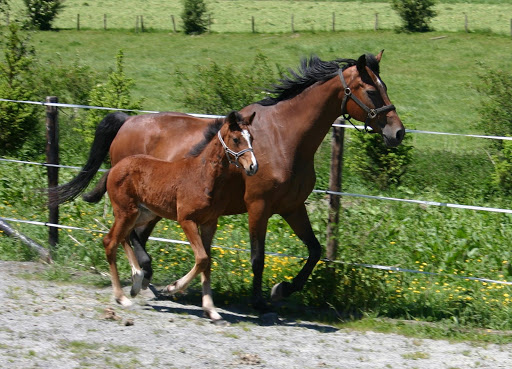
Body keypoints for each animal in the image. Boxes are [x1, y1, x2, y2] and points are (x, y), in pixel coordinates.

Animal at [52, 50, 404, 310]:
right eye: (371, 90)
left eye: (387, 86)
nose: (397, 132)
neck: (285, 137)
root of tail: (126, 122)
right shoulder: (258, 207)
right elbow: (258, 256)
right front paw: (259, 300)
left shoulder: (292, 207)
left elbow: (315, 250)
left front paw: (282, 289)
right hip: (141, 204)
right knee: (130, 236)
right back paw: (149, 278)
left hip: (152, 206)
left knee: (135, 236)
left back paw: (148, 280)